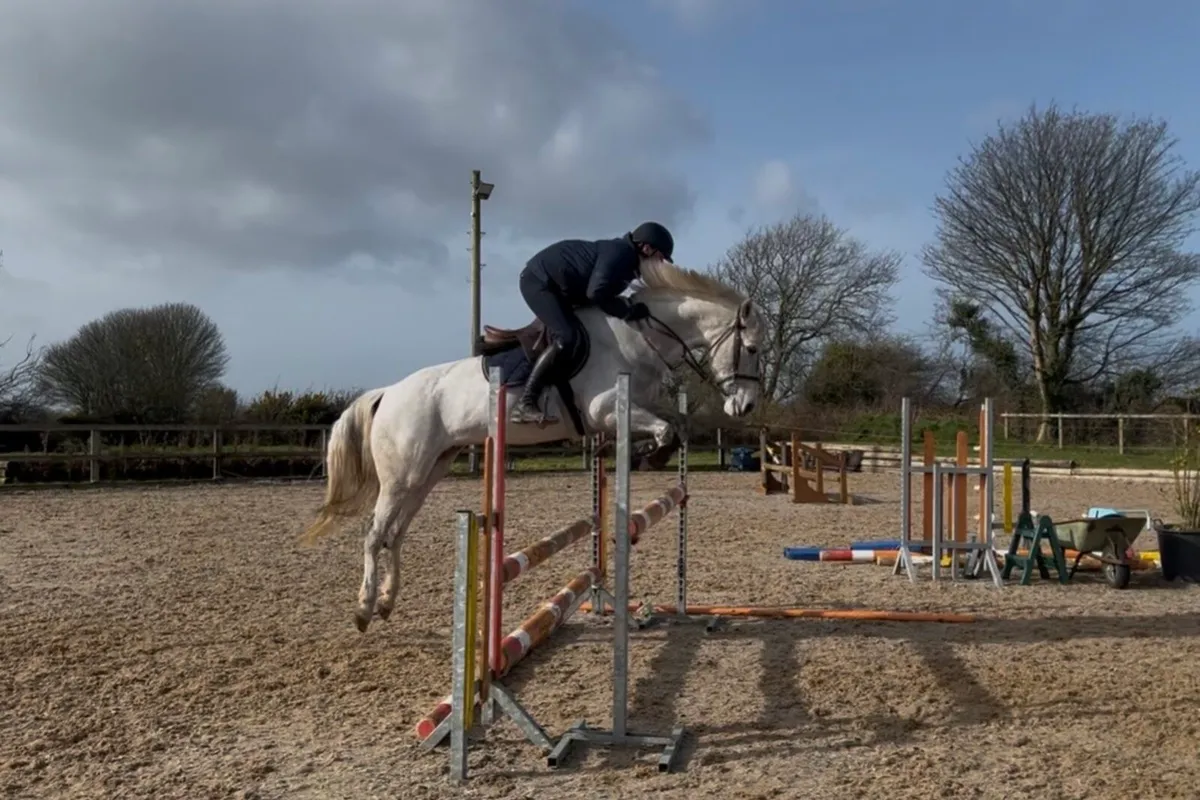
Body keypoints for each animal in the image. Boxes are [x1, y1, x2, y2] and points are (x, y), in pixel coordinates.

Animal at [300, 259, 765, 632]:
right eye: (753, 348)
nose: (745, 406)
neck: (639, 336)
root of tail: (389, 392)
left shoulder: (642, 405)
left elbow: (679, 425)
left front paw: (658, 455)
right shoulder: (608, 409)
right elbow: (666, 430)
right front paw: (651, 456)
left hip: (429, 472)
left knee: (395, 535)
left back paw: (386, 602)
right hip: (401, 476)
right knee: (375, 534)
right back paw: (363, 609)